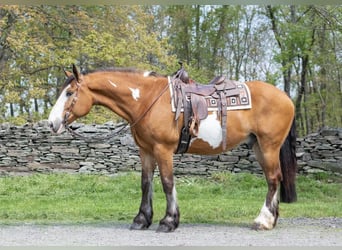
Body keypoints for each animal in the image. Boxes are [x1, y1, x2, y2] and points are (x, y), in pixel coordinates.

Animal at [48, 64, 296, 232]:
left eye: (69, 93)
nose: (52, 123)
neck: (146, 100)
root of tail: (286, 97)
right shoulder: (146, 151)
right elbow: (146, 183)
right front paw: (141, 219)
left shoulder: (163, 149)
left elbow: (167, 183)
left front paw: (169, 221)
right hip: (258, 147)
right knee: (274, 179)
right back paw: (272, 219)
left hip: (268, 146)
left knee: (273, 179)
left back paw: (263, 221)